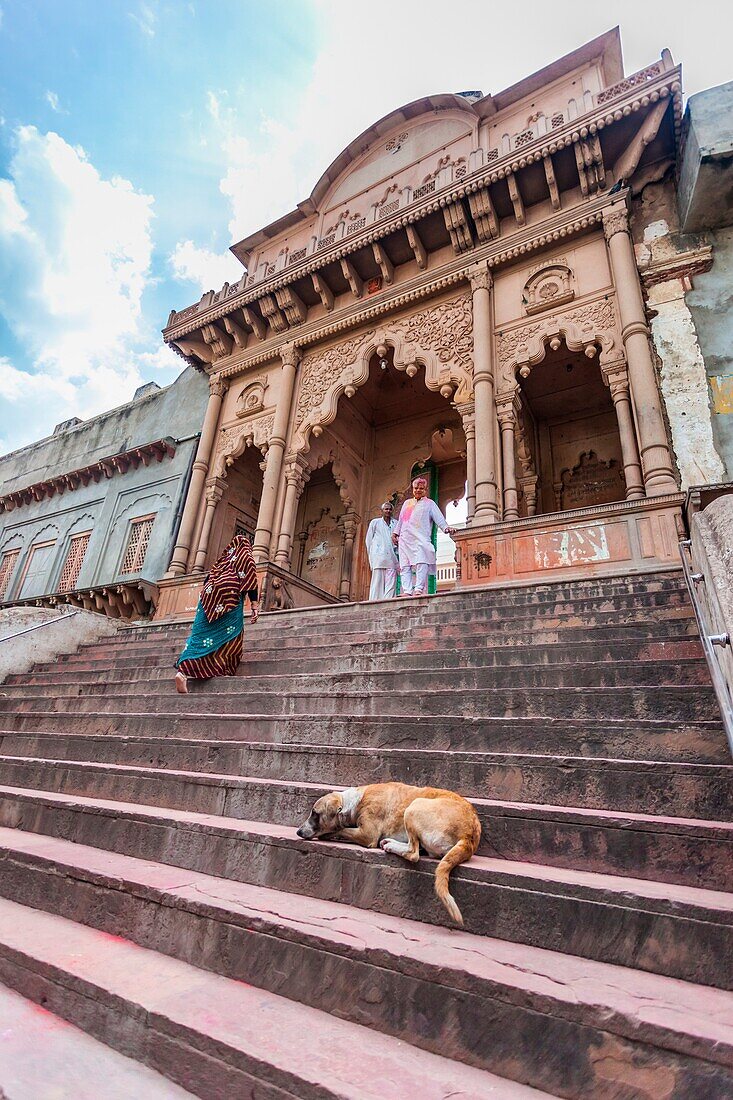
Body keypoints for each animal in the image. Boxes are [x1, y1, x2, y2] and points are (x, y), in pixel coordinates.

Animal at [294, 778, 479, 924]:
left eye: (315, 814)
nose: (298, 832)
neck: (353, 802)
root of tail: (469, 834)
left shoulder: (367, 834)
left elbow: (341, 830)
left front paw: (329, 834)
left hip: (414, 806)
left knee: (413, 853)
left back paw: (391, 845)